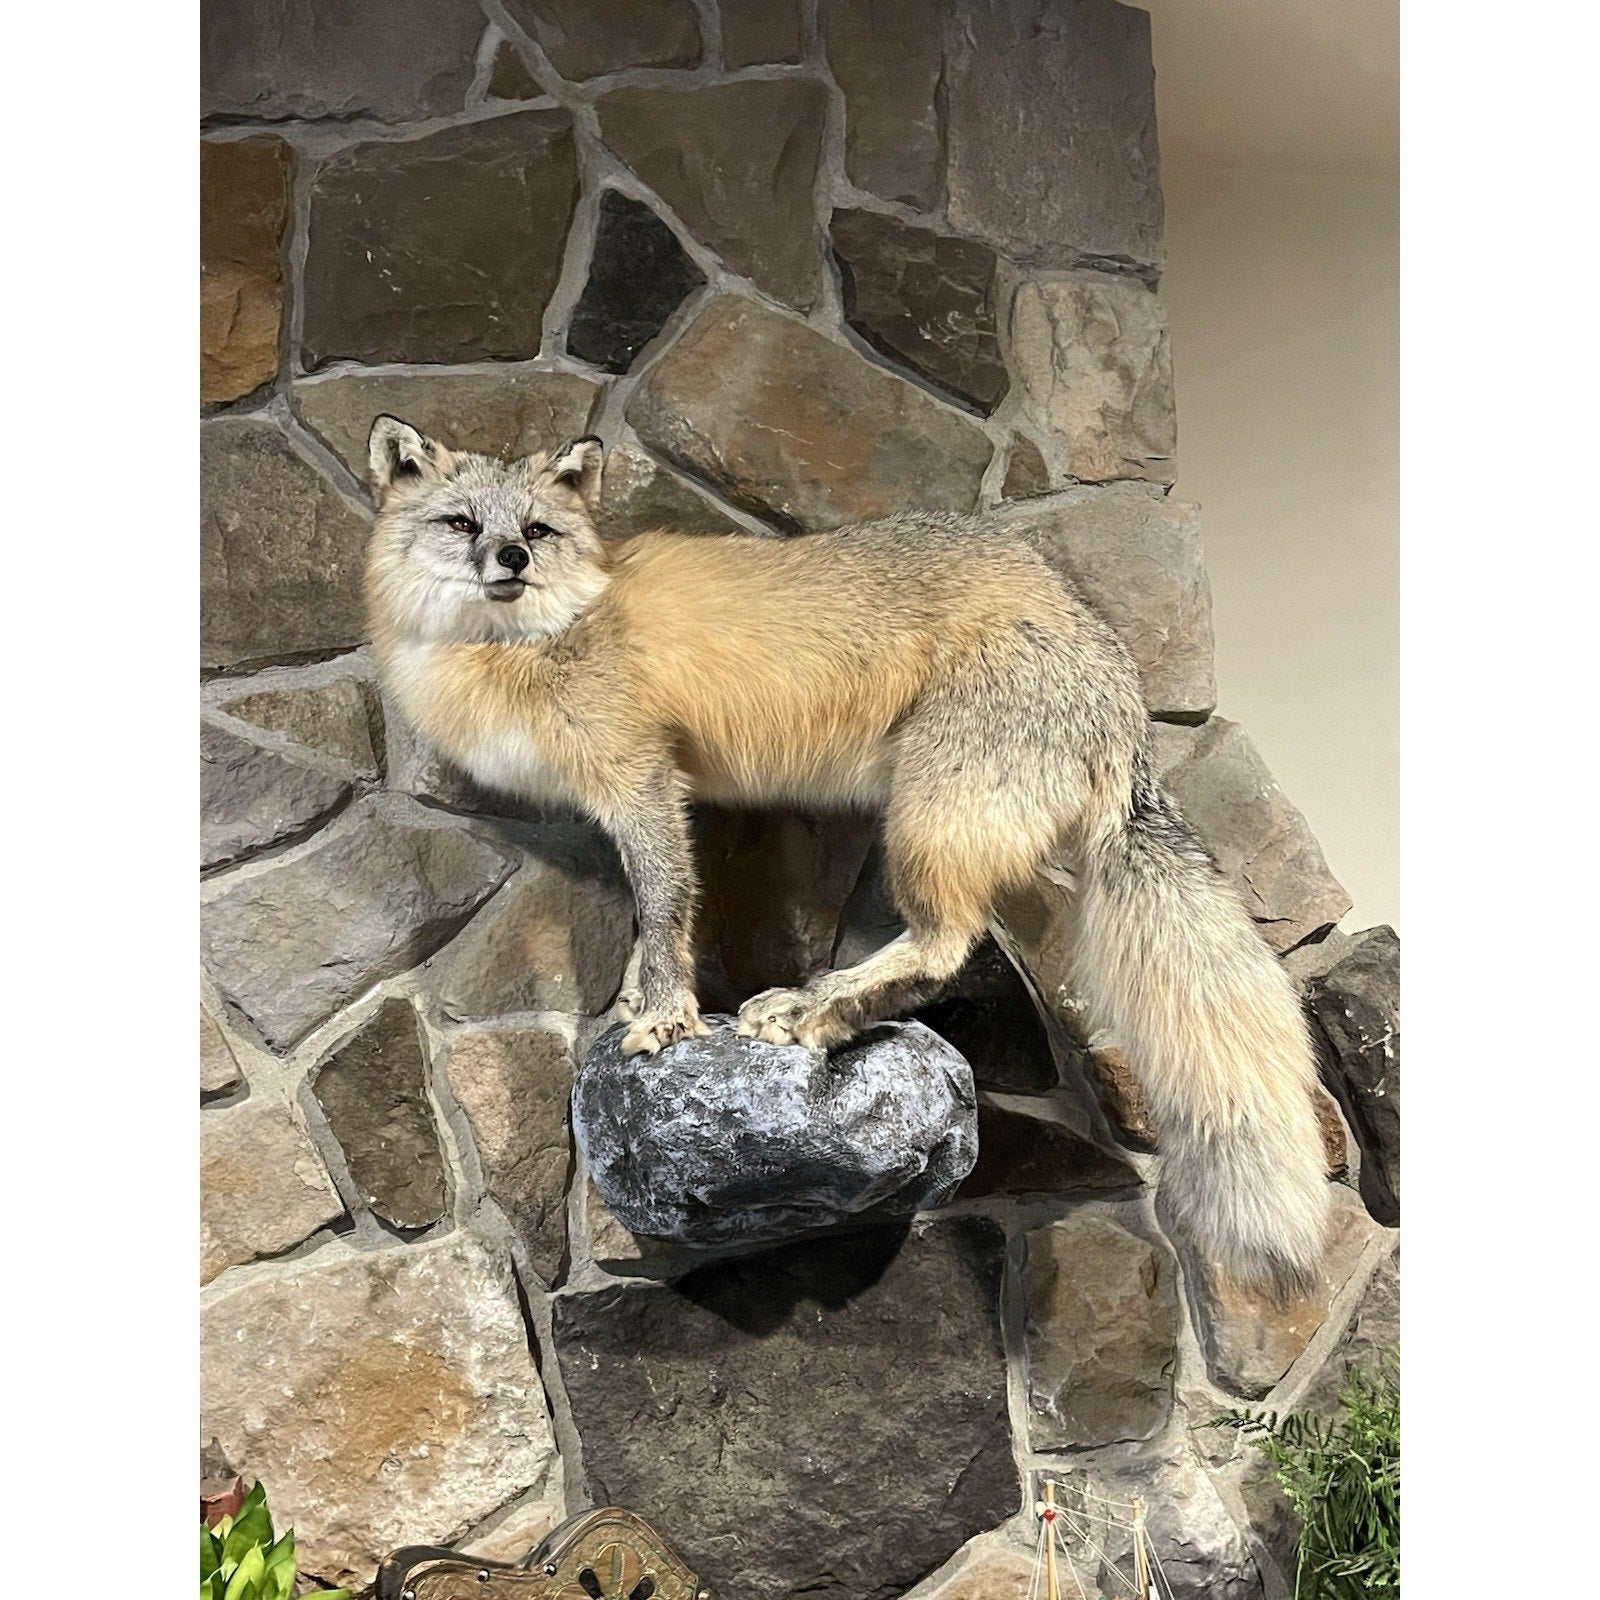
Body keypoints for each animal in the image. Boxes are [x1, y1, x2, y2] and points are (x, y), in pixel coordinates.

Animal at [363, 414, 1331, 1294]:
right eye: (462, 523)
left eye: (535, 531)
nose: (509, 561)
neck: (541, 639)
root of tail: (1121, 684)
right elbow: (652, 916)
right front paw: (647, 997)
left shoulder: (644, 785)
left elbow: (666, 908)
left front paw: (667, 1017)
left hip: (923, 825)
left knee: (947, 947)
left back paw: (814, 1009)